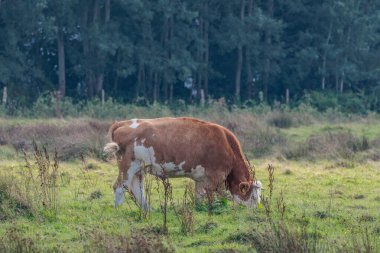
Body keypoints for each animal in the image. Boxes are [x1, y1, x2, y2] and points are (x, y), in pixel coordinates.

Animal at [104, 117, 262, 210]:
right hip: (128, 165)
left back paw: (147, 210)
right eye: (253, 197)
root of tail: (122, 123)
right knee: (119, 186)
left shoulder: (202, 178)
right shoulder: (217, 176)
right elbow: (219, 196)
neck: (226, 144)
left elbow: (200, 196)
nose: (256, 210)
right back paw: (119, 209)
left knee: (137, 189)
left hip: (139, 168)